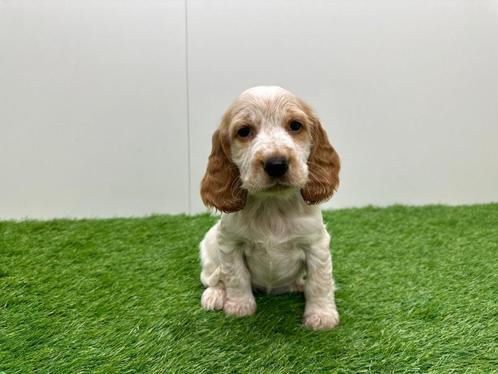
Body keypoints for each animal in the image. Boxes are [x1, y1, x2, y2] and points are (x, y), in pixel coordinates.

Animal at [198, 85, 342, 330]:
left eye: (295, 125)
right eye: (244, 131)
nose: (276, 164)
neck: (273, 205)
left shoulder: (316, 244)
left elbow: (319, 282)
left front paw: (321, 316)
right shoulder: (230, 243)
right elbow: (236, 276)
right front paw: (240, 307)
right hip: (209, 245)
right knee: (212, 278)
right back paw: (215, 295)